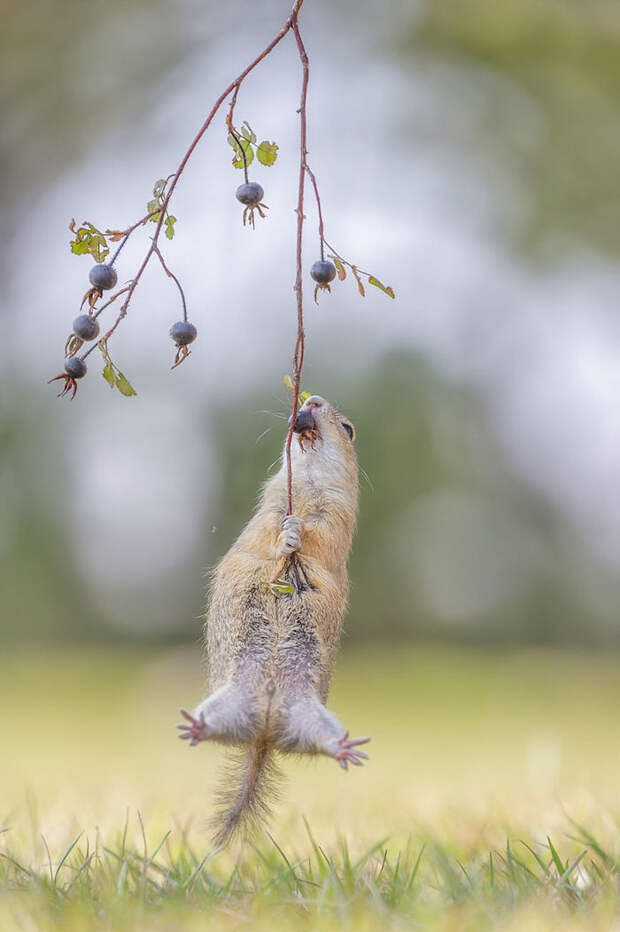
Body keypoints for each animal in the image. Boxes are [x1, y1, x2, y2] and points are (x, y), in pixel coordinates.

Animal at [178, 394, 368, 844]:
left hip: (309, 716)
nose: (312, 399)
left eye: (348, 429)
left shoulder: (337, 515)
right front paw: (287, 535)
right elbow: (268, 532)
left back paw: (343, 748)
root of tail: (263, 733)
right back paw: (196, 727)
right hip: (232, 703)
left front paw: (297, 533)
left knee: (318, 741)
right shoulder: (269, 505)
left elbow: (320, 537)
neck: (306, 483)